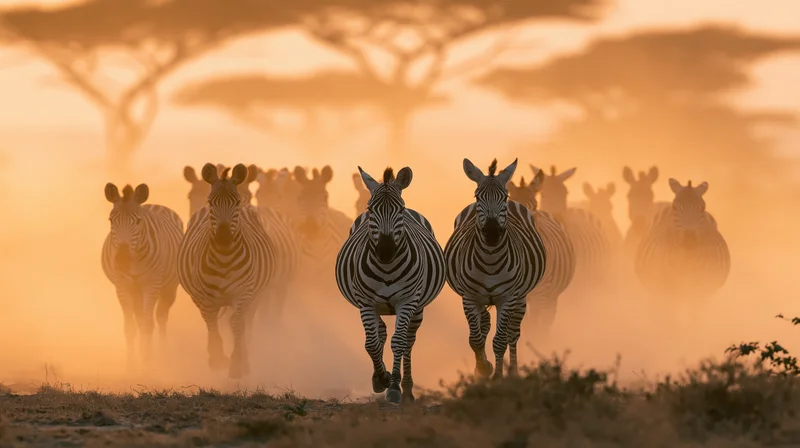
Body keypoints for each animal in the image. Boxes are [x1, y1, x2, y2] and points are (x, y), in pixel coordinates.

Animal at [101, 183, 184, 368]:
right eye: (111, 220)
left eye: (138, 221)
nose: (122, 260)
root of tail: (153, 204)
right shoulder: (122, 287)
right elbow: (130, 327)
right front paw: (131, 365)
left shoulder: (151, 285)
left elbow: (147, 325)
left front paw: (147, 364)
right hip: (135, 291)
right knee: (140, 318)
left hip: (168, 287)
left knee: (160, 318)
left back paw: (162, 354)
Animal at [177, 163, 276, 379]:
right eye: (211, 202)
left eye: (236, 202)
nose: (223, 239)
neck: (223, 259)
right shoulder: (204, 297)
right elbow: (211, 323)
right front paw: (216, 358)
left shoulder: (244, 293)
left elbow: (236, 323)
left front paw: (238, 363)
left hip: (254, 297)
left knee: (244, 322)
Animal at [335, 166, 446, 403]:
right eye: (370, 209)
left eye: (400, 210)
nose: (385, 251)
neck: (386, 267)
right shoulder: (365, 302)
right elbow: (371, 343)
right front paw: (381, 378)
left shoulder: (407, 300)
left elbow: (399, 342)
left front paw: (394, 386)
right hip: (376, 305)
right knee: (381, 332)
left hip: (418, 308)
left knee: (408, 341)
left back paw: (408, 389)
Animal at [444, 158, 547, 379]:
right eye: (477, 196)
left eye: (504, 196)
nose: (491, 233)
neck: (490, 260)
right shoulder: (469, 297)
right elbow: (475, 339)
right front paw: (482, 369)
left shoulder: (507, 297)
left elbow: (500, 341)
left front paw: (499, 376)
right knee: (485, 324)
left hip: (521, 296)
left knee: (512, 333)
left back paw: (513, 373)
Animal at [506, 171, 576, 340]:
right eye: (509, 208)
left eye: (534, 207)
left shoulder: (540, 294)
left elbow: (533, 327)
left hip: (551, 296)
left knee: (545, 323)